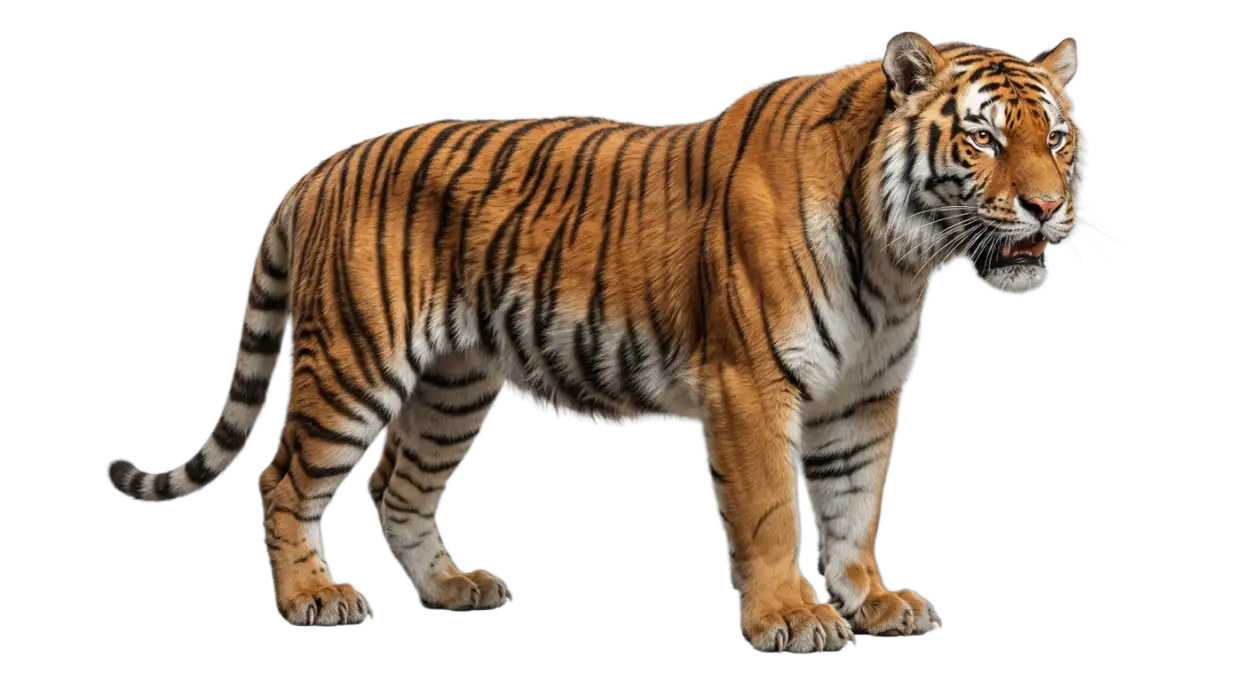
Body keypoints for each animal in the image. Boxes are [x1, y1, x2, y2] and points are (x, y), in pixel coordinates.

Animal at [105, 31, 1085, 653]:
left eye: (1059, 138)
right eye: (983, 137)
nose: (1047, 206)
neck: (898, 260)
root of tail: (323, 166)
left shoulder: (863, 399)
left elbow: (853, 511)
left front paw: (873, 600)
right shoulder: (751, 386)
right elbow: (773, 510)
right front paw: (789, 617)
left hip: (453, 386)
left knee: (397, 485)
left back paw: (452, 590)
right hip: (355, 362)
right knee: (283, 477)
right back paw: (312, 597)